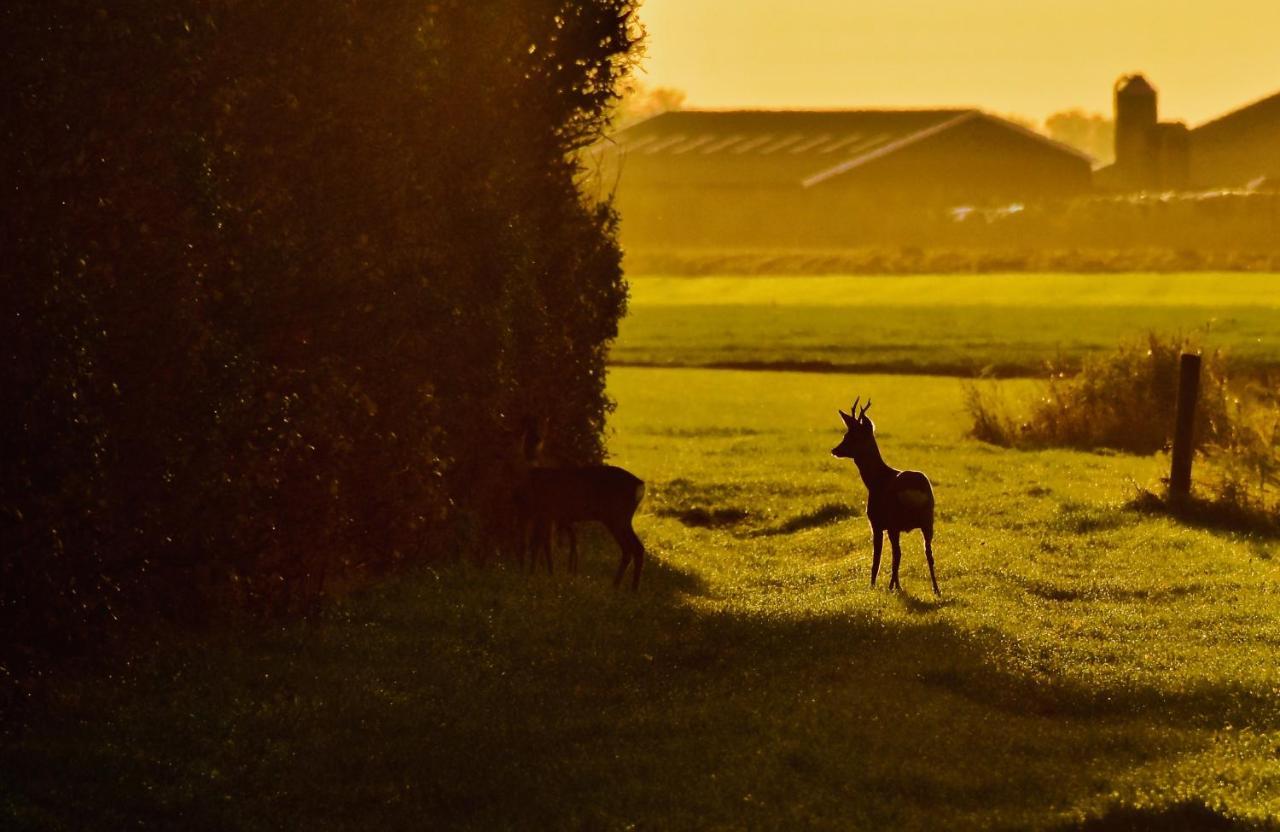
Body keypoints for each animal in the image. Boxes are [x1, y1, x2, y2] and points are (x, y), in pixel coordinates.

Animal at [512, 417, 645, 586]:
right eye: (527, 428)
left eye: (542, 426)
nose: (536, 440)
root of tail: (640, 484)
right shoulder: (544, 515)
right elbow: (540, 544)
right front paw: (546, 574)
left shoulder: (543, 511)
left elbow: (535, 543)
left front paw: (531, 574)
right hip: (618, 517)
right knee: (633, 548)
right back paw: (621, 586)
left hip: (618, 515)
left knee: (634, 548)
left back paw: (626, 587)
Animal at [829, 396, 942, 596]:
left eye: (849, 436)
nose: (835, 450)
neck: (876, 480)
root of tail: (914, 490)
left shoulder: (876, 522)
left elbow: (876, 557)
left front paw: (872, 586)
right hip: (928, 520)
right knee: (928, 553)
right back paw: (935, 589)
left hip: (895, 521)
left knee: (897, 553)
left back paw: (892, 586)